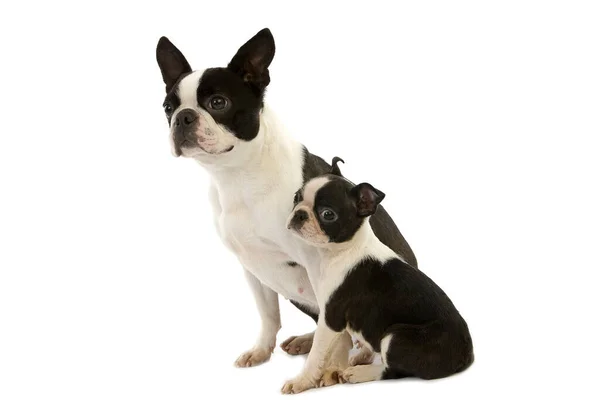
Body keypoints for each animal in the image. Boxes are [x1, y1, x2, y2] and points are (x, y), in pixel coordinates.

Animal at [155, 28, 418, 368]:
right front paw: (261, 351)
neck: (240, 174)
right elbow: (269, 315)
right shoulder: (253, 267)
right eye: (168, 108)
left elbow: (333, 330)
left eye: (218, 102)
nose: (183, 117)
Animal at [282, 159, 474, 394]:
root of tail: (466, 354)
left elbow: (317, 354)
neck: (342, 251)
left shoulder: (331, 317)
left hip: (396, 337)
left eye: (328, 214)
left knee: (393, 371)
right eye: (296, 198)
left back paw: (360, 373)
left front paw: (301, 381)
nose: (299, 214)